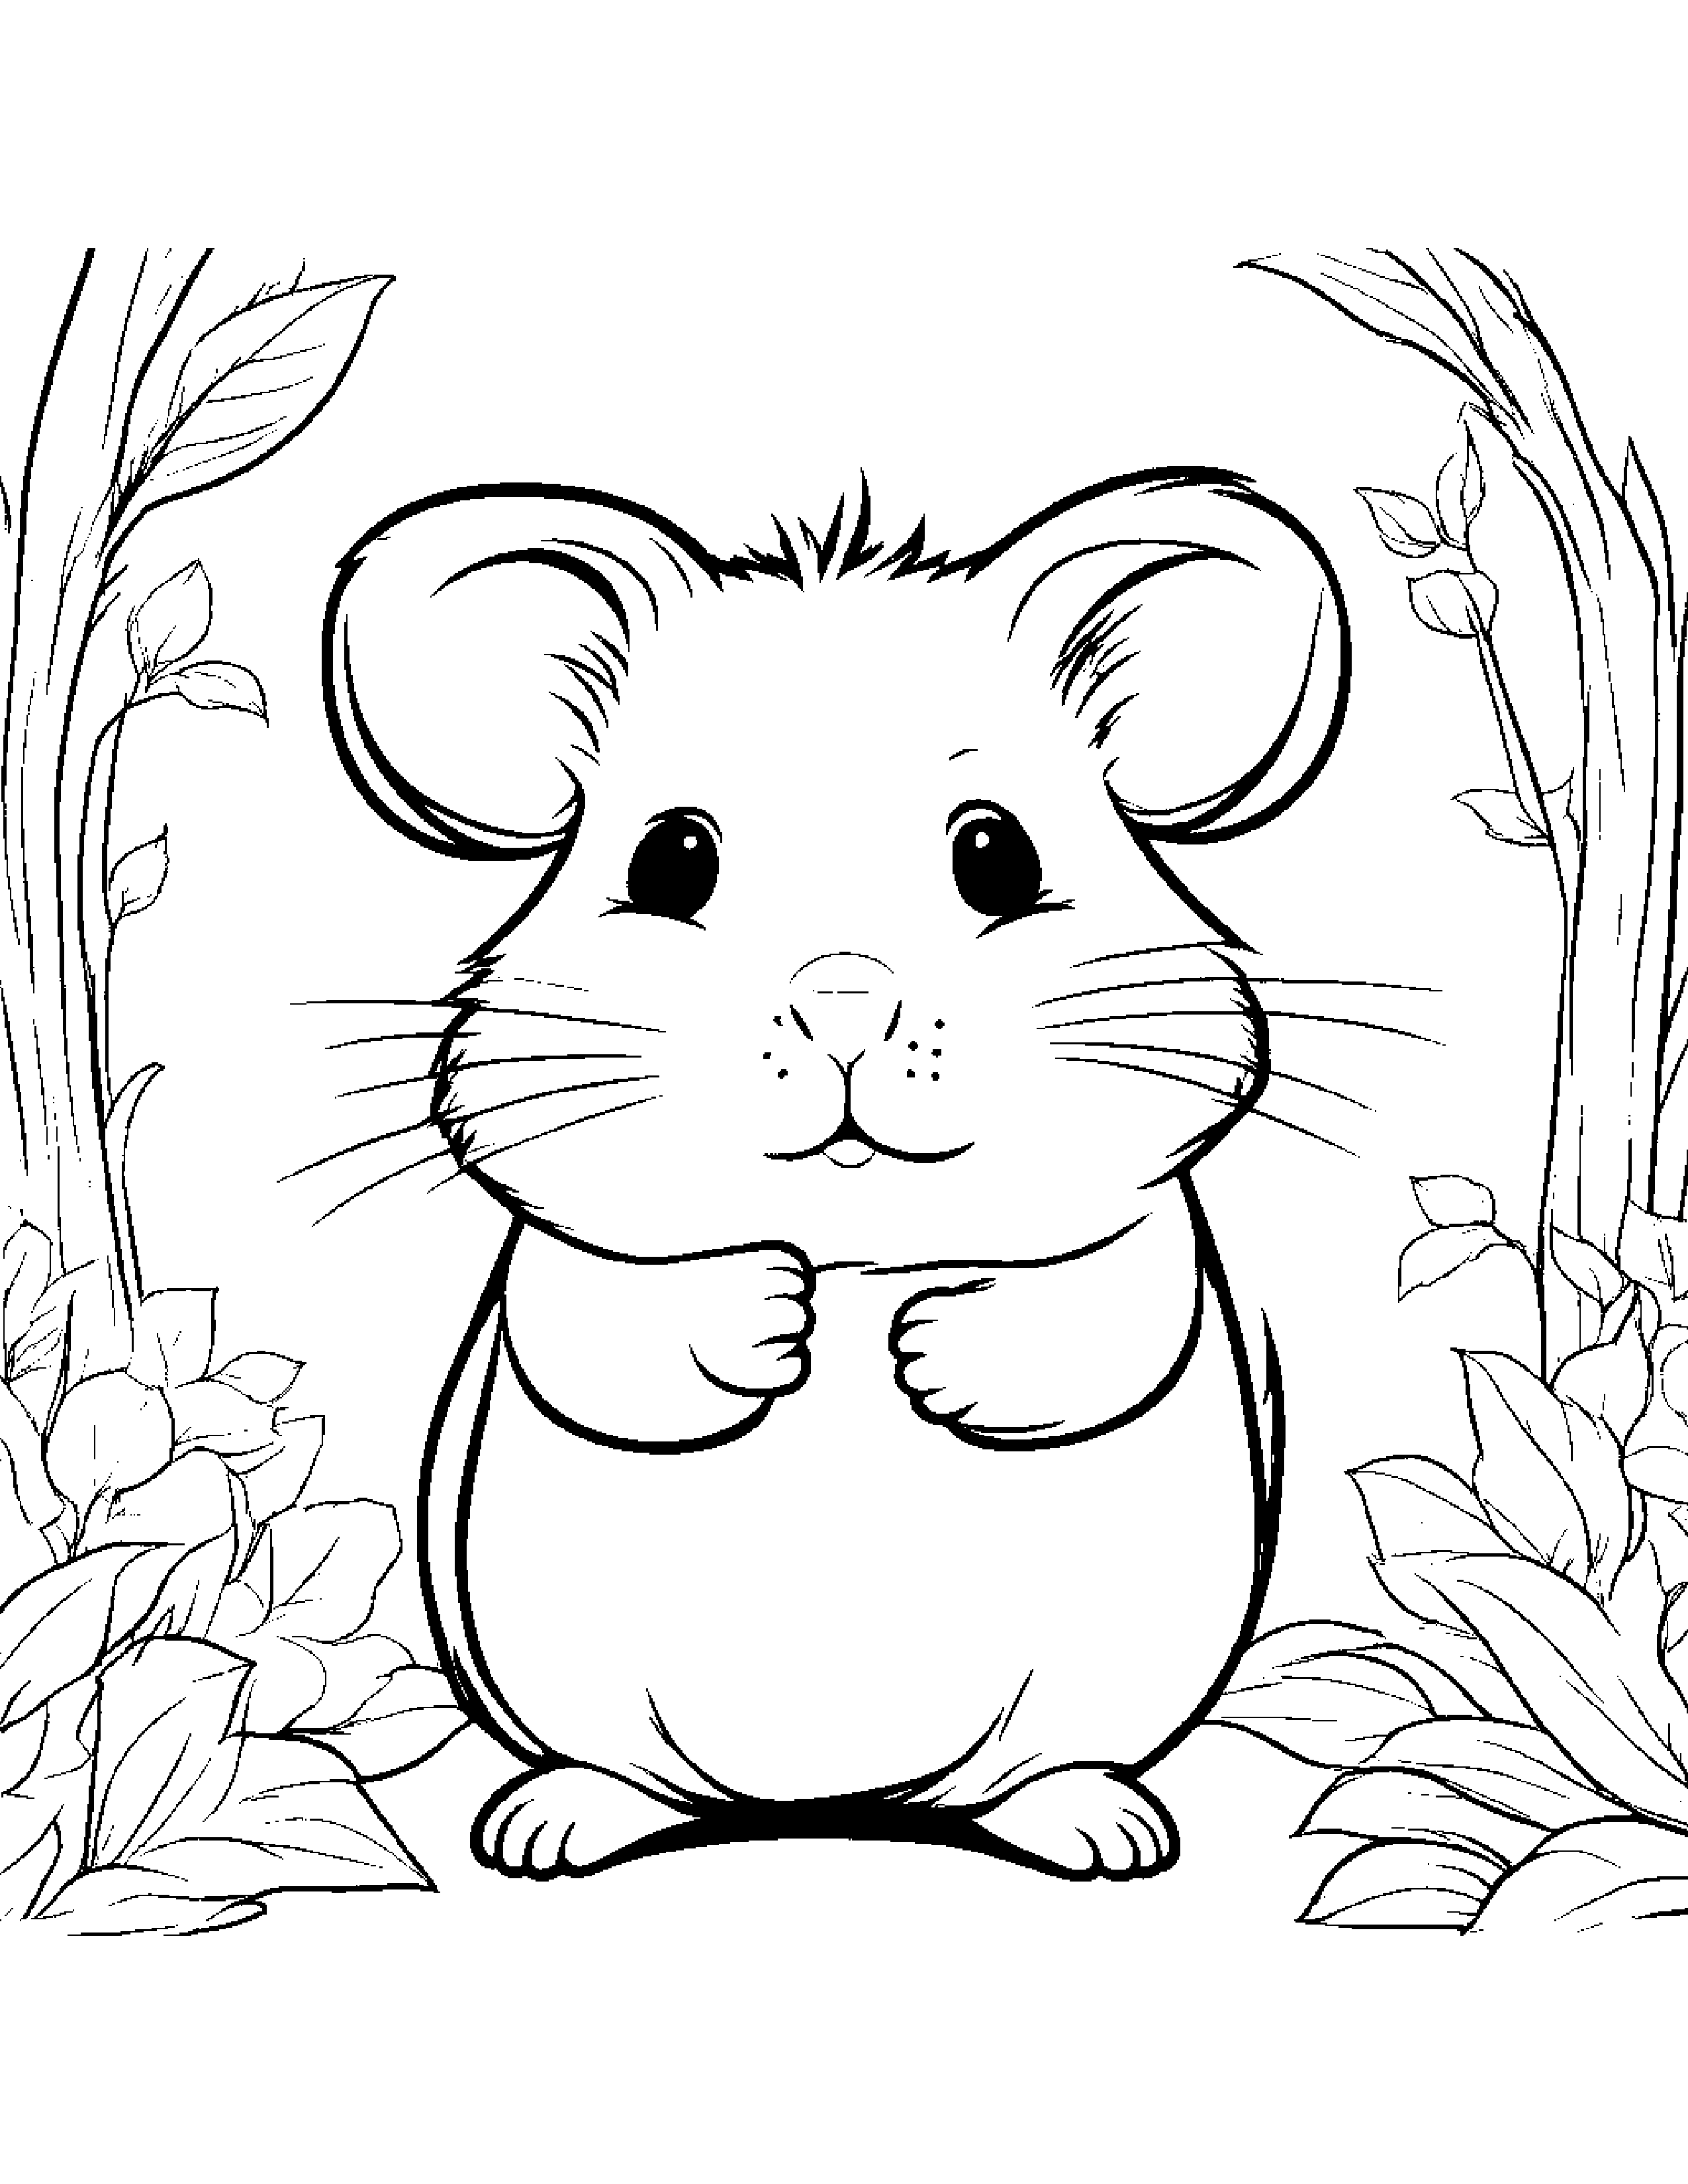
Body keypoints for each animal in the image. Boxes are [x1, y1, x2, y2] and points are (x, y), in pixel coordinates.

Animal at [323, 469, 1347, 1880]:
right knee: (625, 1776)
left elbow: (1098, 1317)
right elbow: (614, 1327)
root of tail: (846, 1801)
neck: (857, 1236)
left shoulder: (1150, 1242)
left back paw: (1104, 1830)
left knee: (1033, 1776)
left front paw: (927, 1349)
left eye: (997, 854)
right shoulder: (560, 1257)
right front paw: (777, 1316)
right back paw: (544, 1830)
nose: (843, 1003)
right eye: (671, 860)